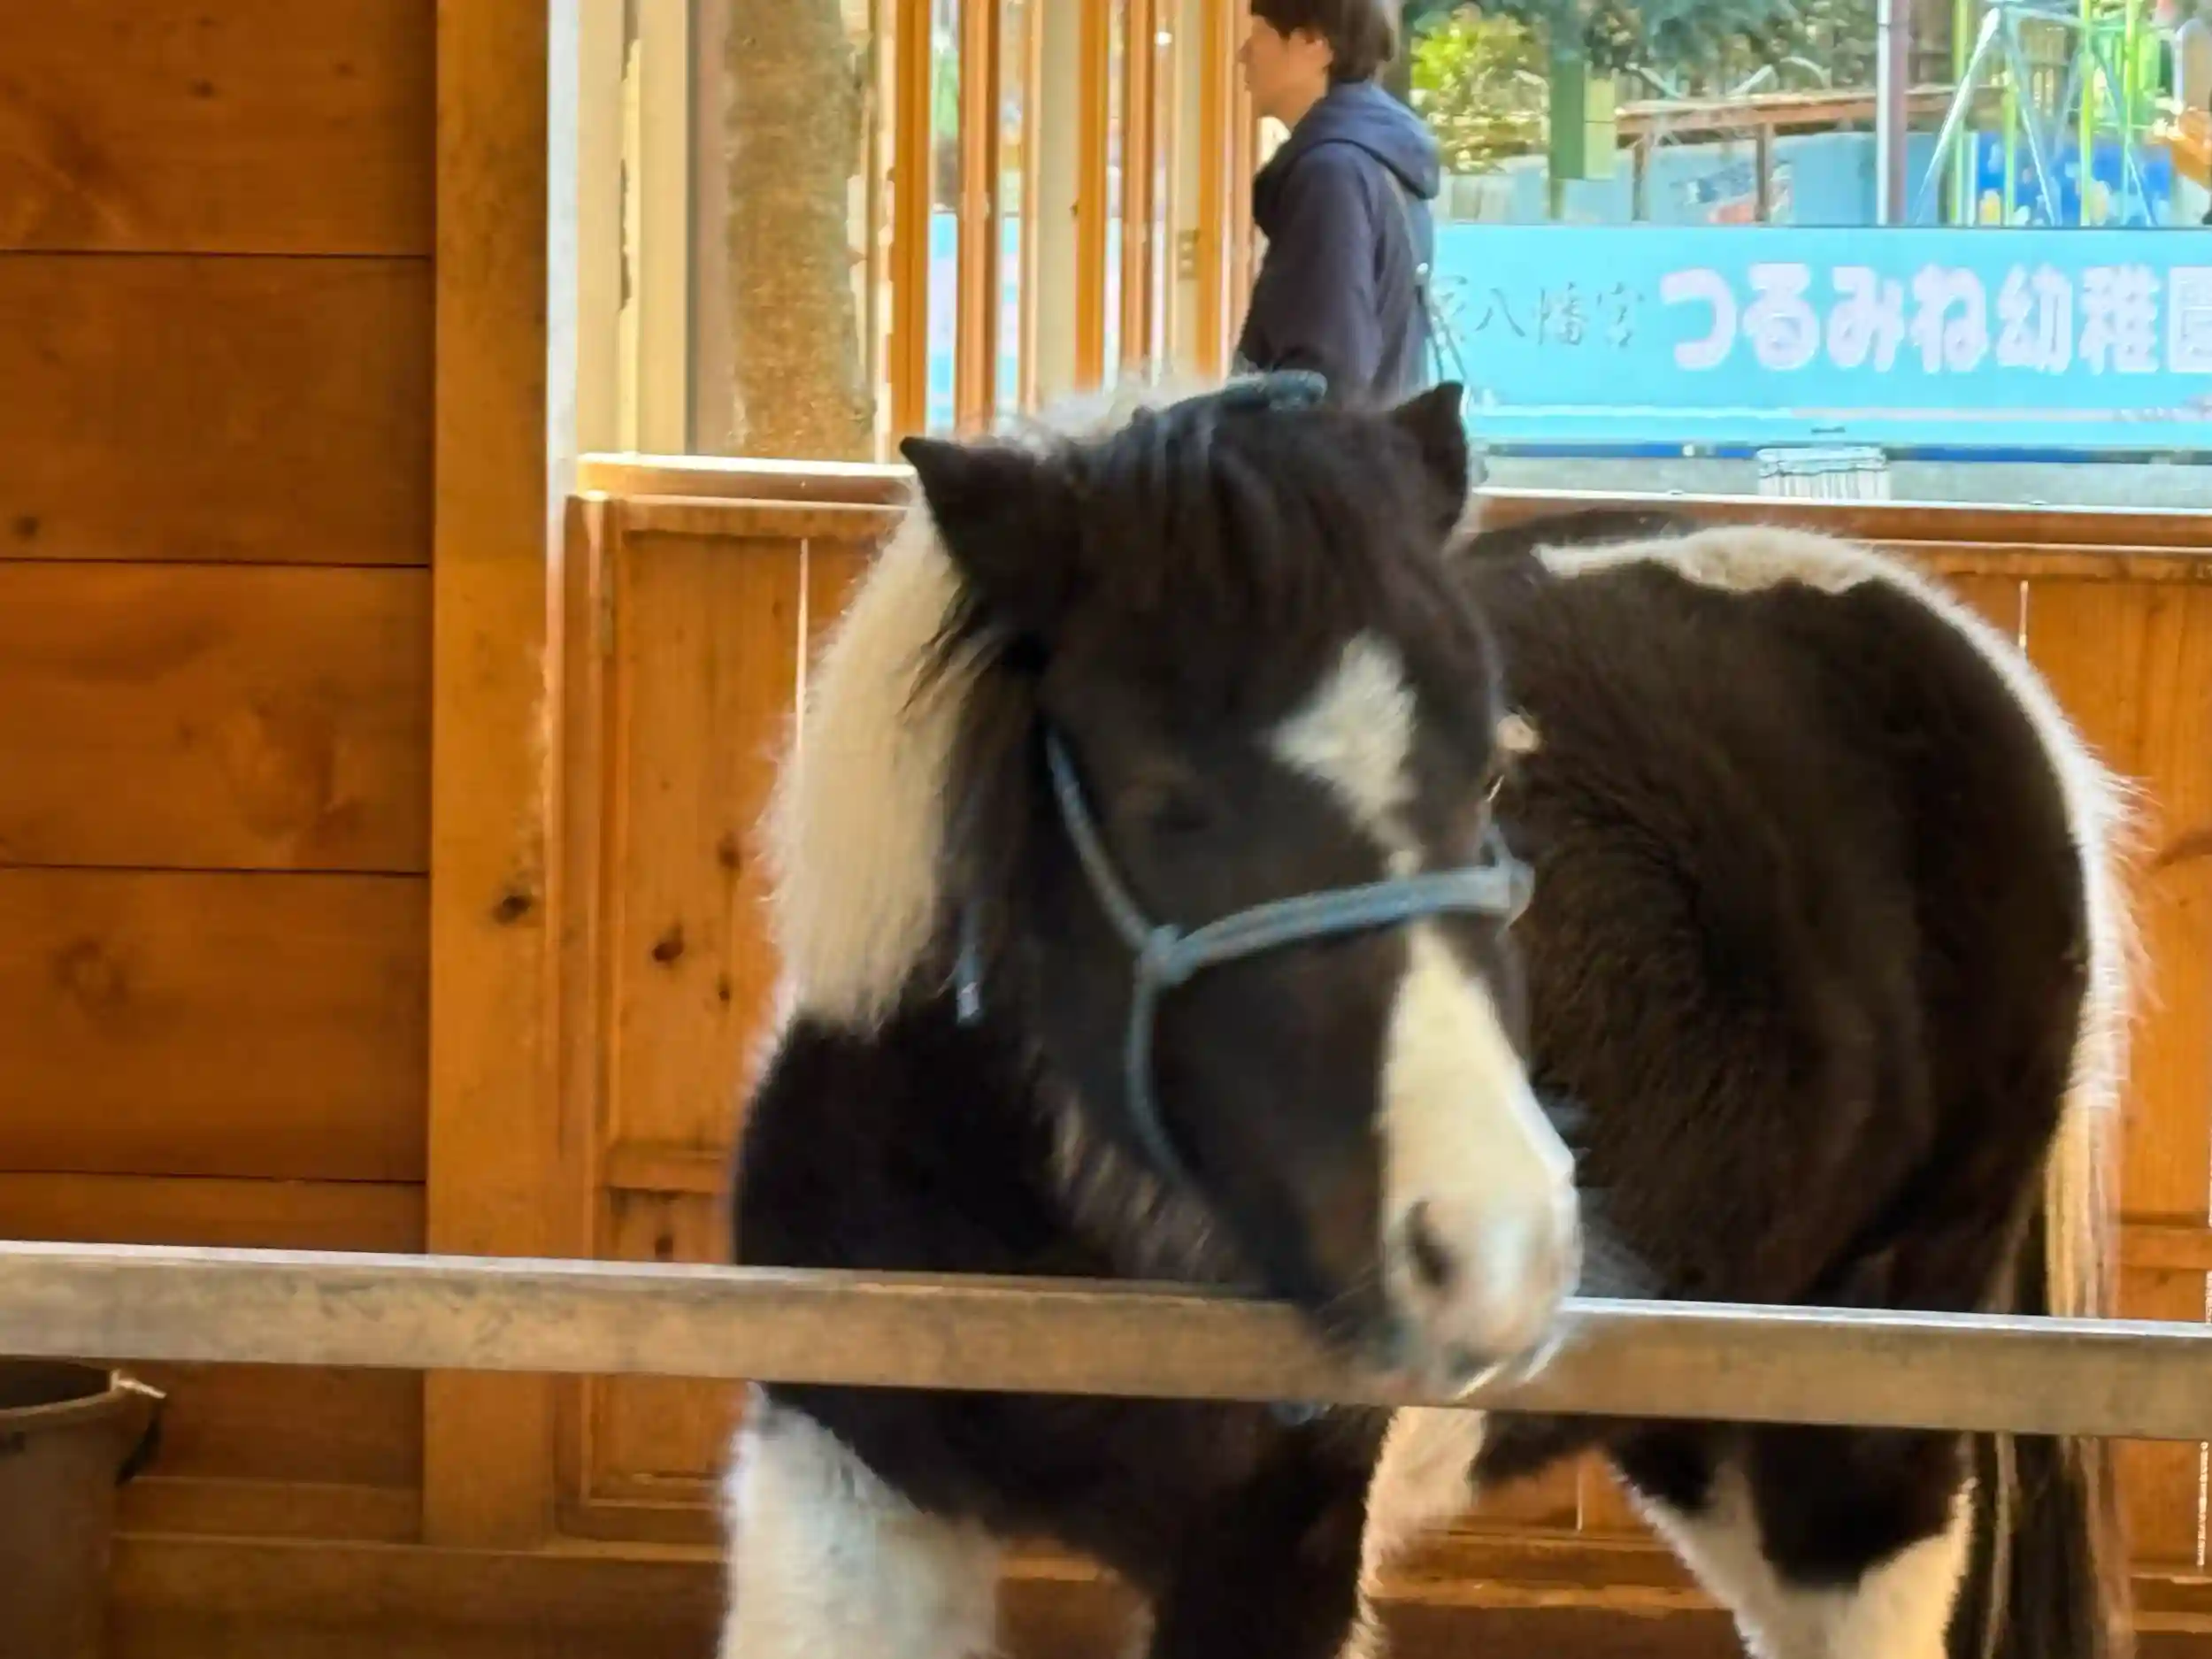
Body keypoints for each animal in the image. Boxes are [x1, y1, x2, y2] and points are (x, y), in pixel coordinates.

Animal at [715, 372, 2137, 1659]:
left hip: (1862, 1426)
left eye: (1493, 770)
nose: (1493, 1247)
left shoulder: (1276, 1546)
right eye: (1164, 798)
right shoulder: (848, 1484)